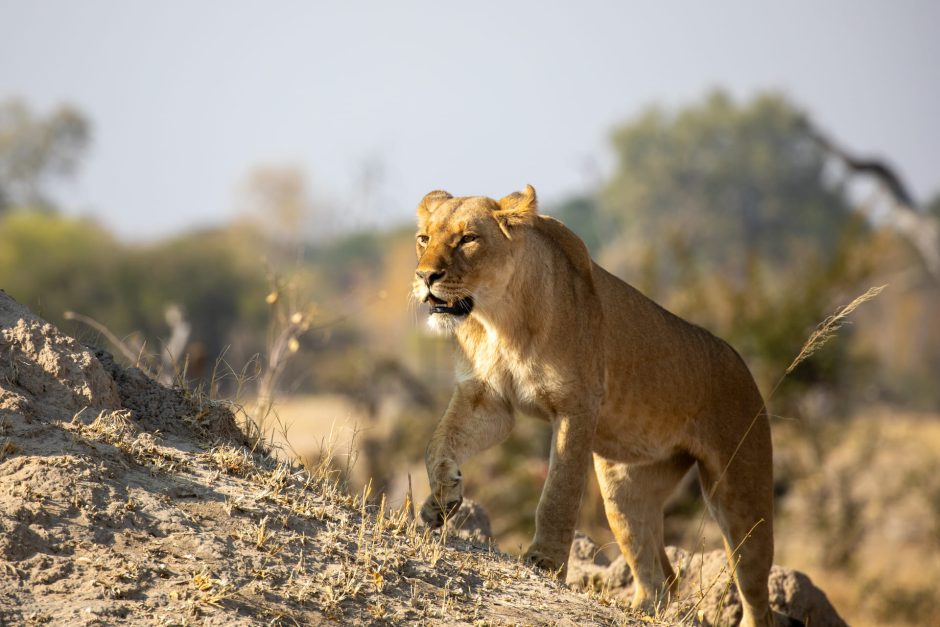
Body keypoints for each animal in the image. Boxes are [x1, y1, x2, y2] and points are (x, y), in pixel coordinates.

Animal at [412, 185, 799, 627]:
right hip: (625, 490)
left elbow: (559, 492)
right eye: (424, 239)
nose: (425, 277)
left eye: (468, 239)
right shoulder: (488, 400)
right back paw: (640, 610)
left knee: (755, 593)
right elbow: (438, 443)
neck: (498, 320)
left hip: (741, 496)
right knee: (660, 577)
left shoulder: (577, 407)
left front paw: (544, 563)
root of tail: (740, 361)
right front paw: (442, 500)